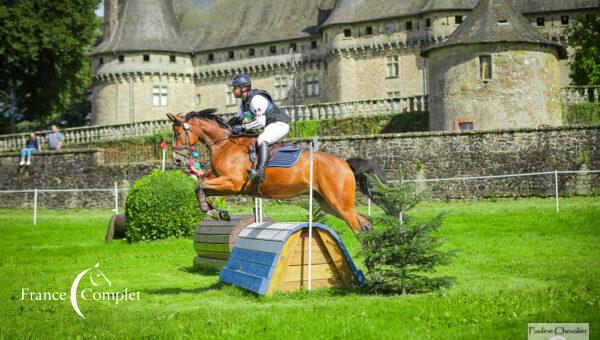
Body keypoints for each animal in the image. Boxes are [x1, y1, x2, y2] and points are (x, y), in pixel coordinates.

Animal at [168, 109, 384, 236]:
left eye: (177, 133)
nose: (177, 160)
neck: (224, 145)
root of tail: (344, 163)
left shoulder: (232, 182)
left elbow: (199, 185)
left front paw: (214, 212)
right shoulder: (226, 184)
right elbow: (201, 188)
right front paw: (217, 212)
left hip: (339, 202)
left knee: (358, 227)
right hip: (328, 204)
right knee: (366, 223)